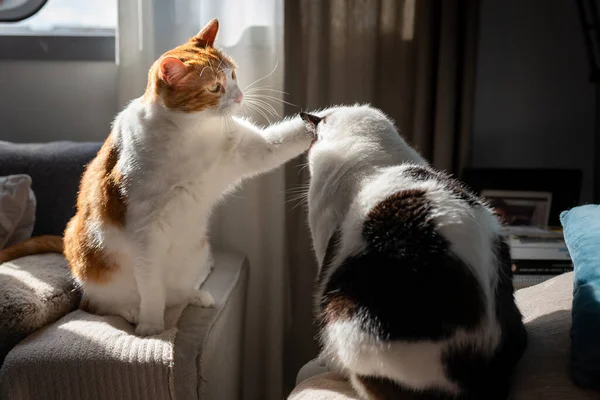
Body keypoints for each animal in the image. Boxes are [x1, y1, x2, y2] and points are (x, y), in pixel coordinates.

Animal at [2, 20, 314, 336]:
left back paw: (193, 295)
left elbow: (281, 142)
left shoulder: (251, 150)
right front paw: (151, 326)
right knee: (101, 304)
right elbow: (151, 288)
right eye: (215, 87)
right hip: (93, 260)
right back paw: (130, 311)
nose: (239, 96)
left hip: (196, 250)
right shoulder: (146, 233)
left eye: (234, 75)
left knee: (175, 291)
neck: (191, 133)